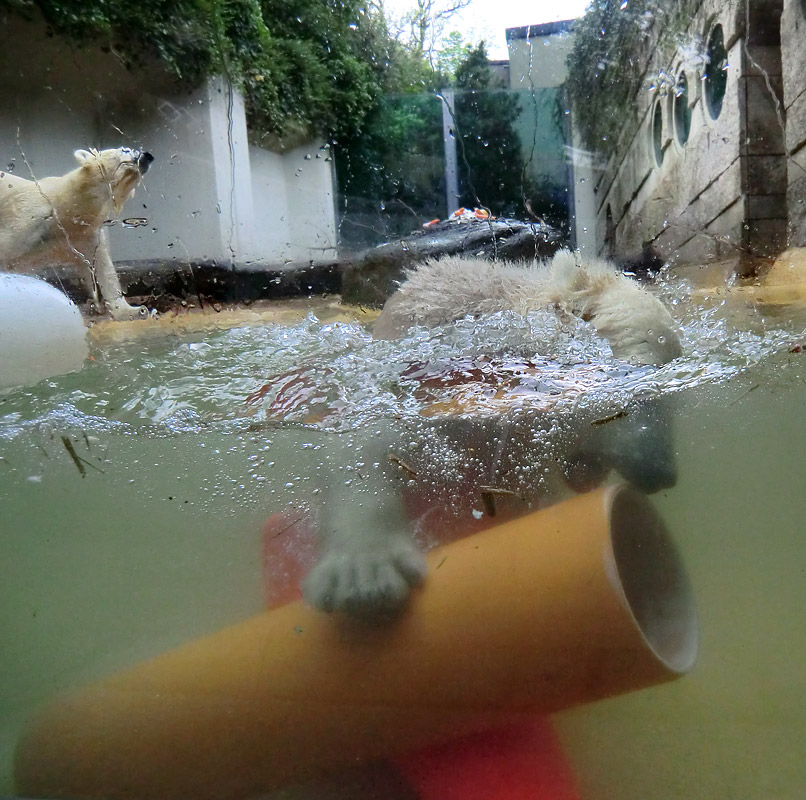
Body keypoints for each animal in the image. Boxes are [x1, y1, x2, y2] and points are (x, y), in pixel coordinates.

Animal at [0, 147, 154, 318]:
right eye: (124, 149)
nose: (147, 156)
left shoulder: (86, 235)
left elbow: (103, 268)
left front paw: (135, 310)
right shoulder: (27, 218)